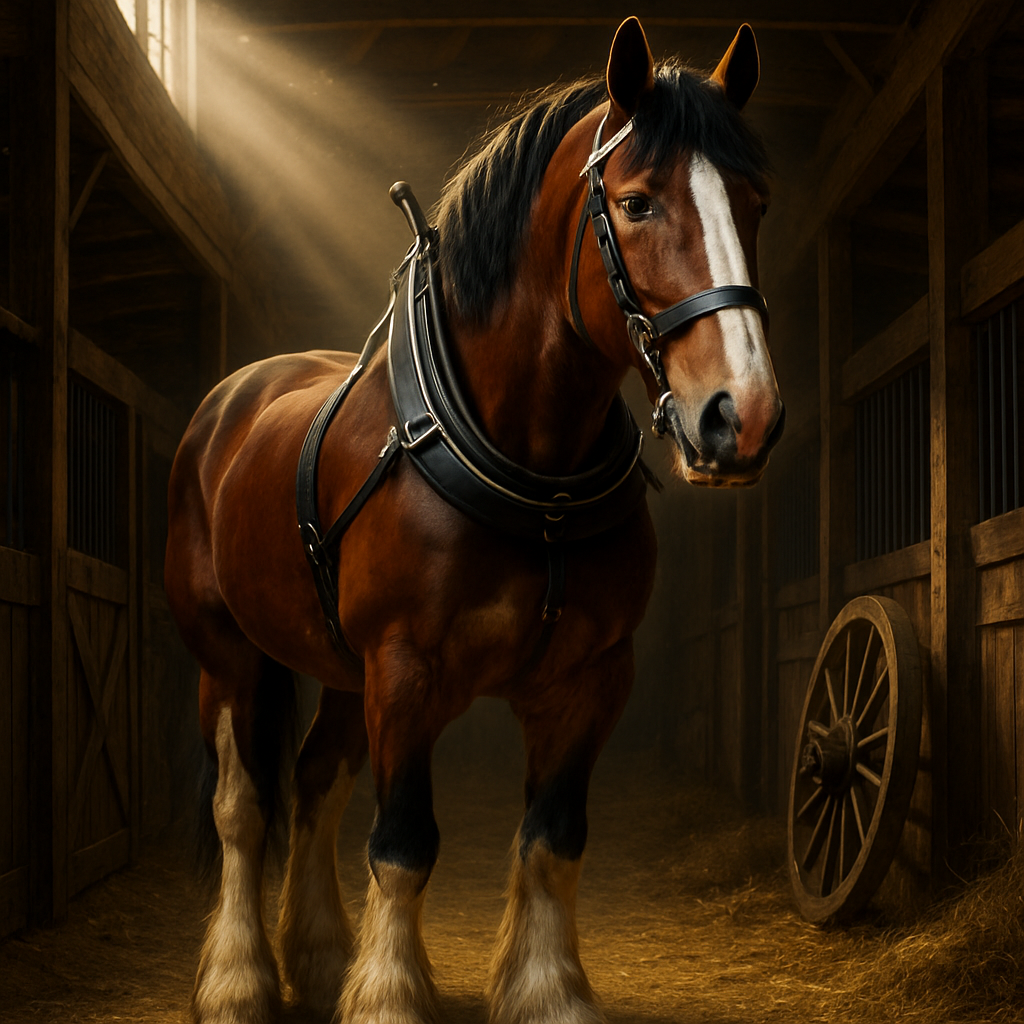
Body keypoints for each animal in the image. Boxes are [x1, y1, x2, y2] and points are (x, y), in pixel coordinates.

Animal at [165, 17, 783, 1024]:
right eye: (638, 204)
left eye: (754, 202)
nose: (746, 415)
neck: (532, 466)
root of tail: (232, 399)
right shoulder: (406, 672)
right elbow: (402, 844)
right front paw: (387, 998)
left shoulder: (590, 679)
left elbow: (553, 840)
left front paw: (548, 990)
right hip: (229, 654)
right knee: (243, 807)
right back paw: (238, 980)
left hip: (341, 672)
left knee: (314, 784)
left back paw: (321, 957)